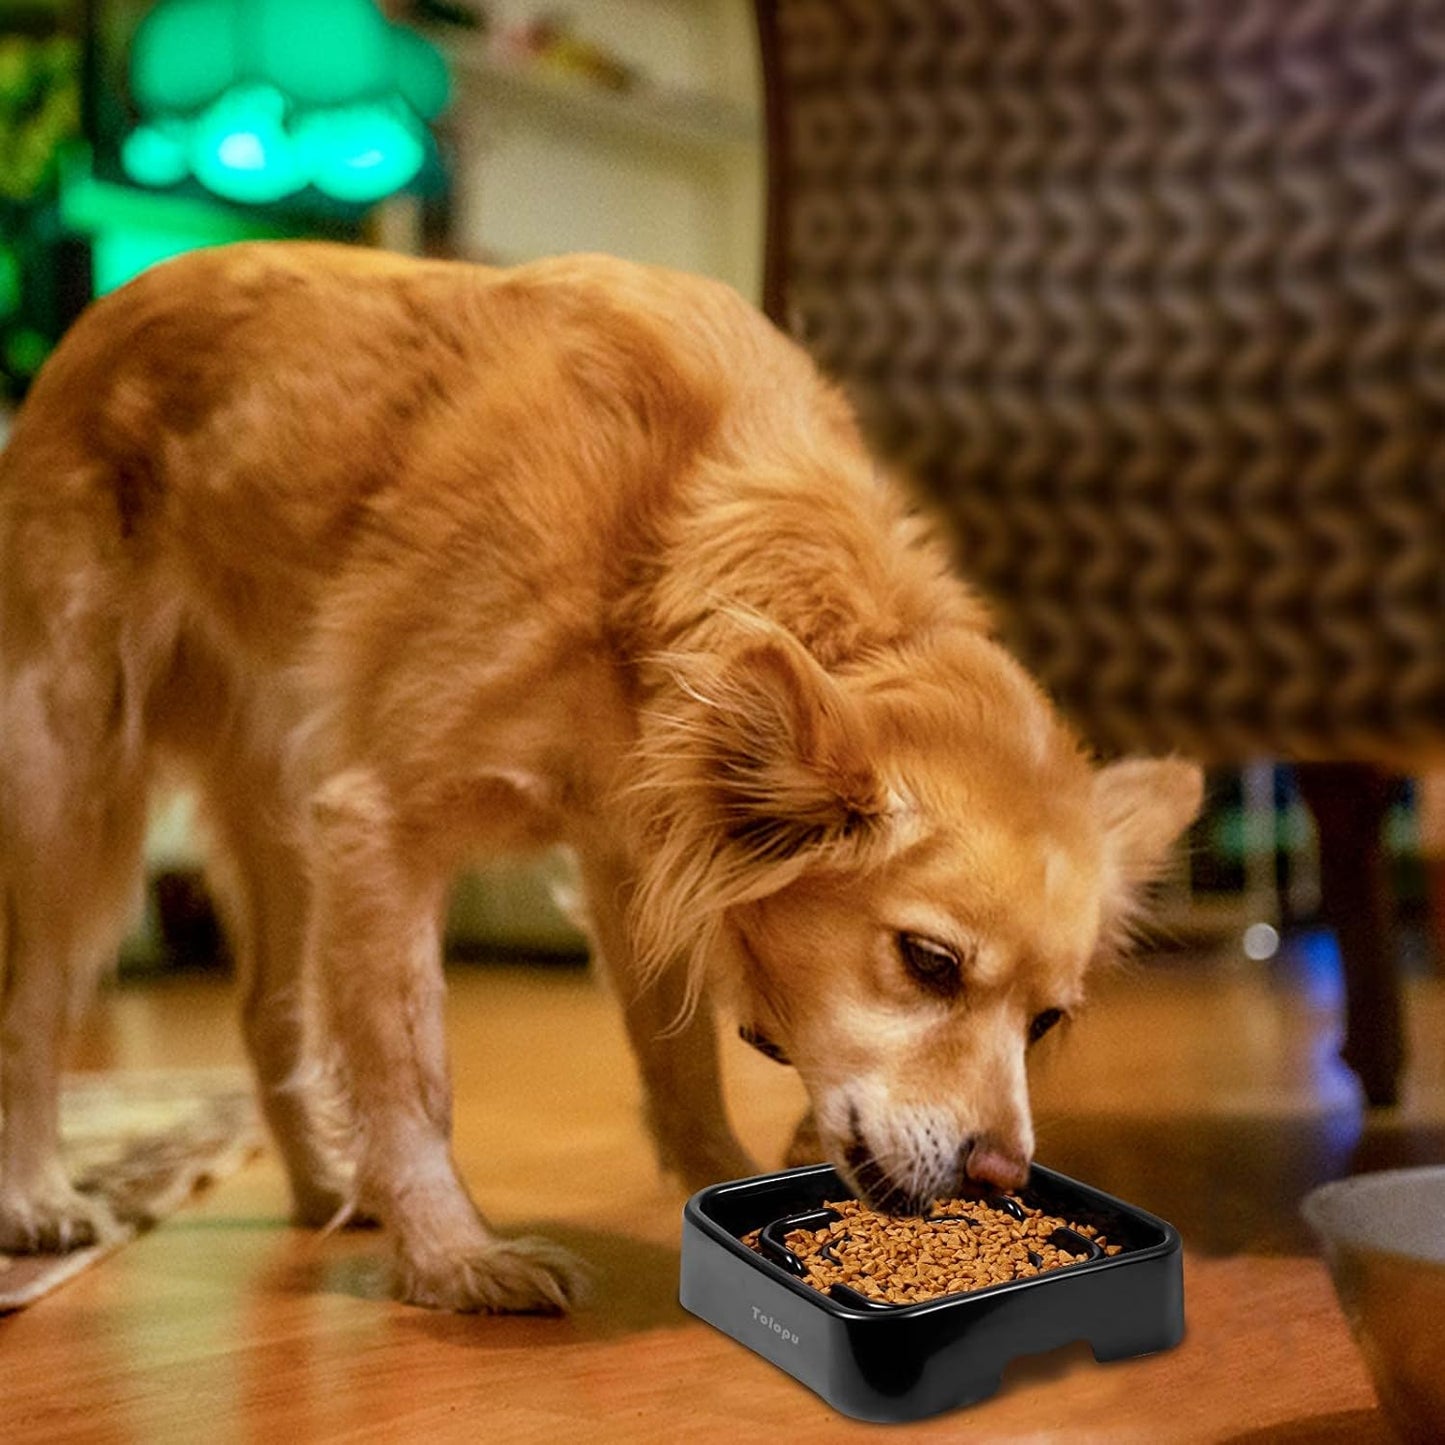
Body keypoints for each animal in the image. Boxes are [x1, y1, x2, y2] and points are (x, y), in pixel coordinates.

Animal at [0, 245, 1196, 1312]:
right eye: (928, 962)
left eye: (1046, 1021)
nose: (999, 1173)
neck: (657, 530)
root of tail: (109, 310)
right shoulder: (380, 827)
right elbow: (412, 1074)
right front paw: (456, 1261)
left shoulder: (635, 857)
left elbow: (679, 1061)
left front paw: (719, 1187)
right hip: (73, 785)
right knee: (33, 1004)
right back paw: (39, 1197)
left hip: (284, 818)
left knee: (265, 1015)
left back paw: (333, 1185)